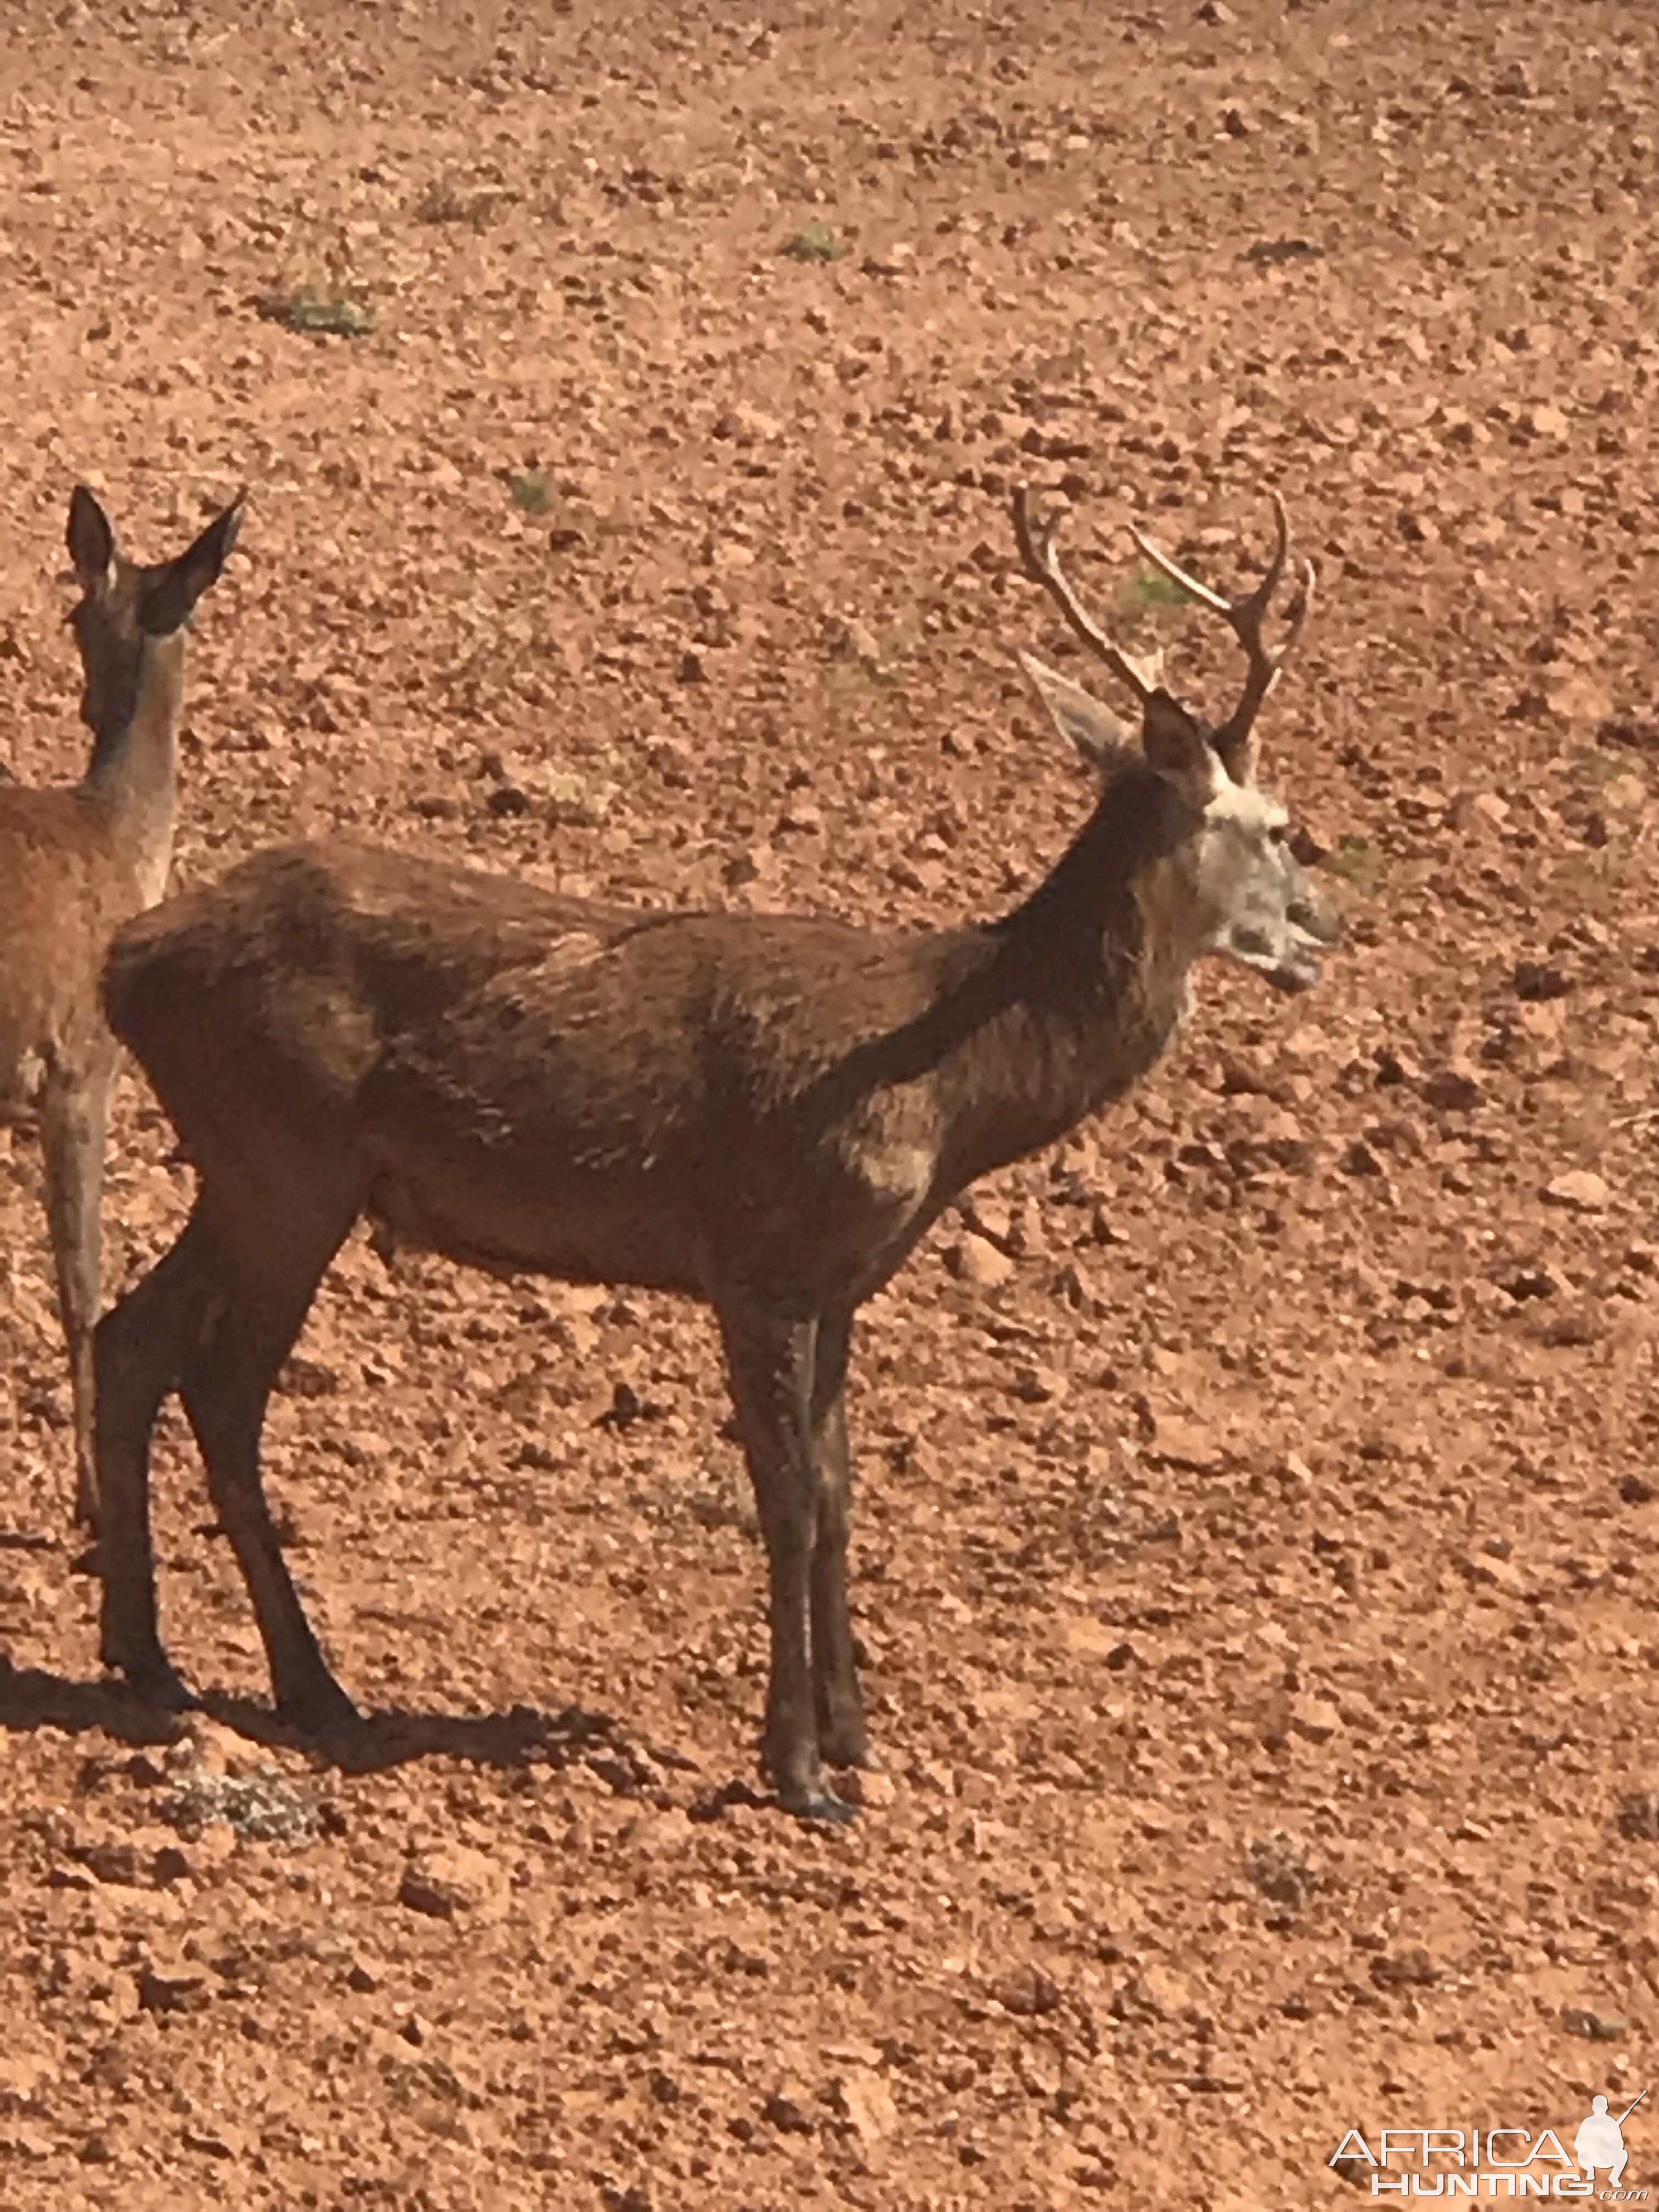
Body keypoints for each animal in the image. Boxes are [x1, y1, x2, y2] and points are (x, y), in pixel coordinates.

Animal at [91, 484, 1336, 1814]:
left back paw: (148, 1660)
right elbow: (785, 1501)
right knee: (222, 1389)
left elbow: (839, 1488)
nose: (1327, 927)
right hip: (288, 1165)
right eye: (1277, 827)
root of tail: (128, 959)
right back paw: (312, 1688)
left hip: (246, 1172)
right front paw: (795, 1767)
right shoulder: (759, 1258)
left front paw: (854, 1735)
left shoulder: (842, 1281)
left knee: (132, 1341)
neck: (955, 1079)